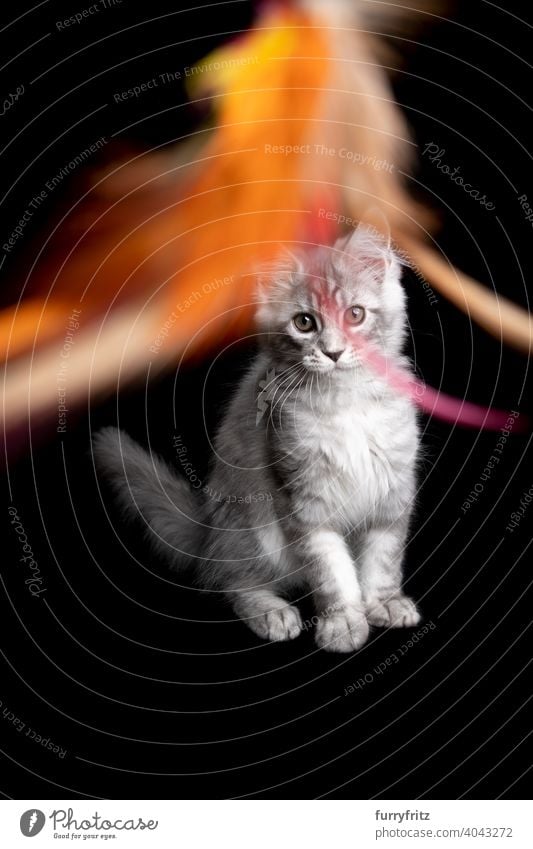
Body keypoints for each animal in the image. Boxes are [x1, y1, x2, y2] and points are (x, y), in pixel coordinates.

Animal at [94, 224, 420, 648]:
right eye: (304, 322)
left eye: (355, 314)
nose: (333, 352)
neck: (344, 399)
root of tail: (209, 533)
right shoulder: (301, 499)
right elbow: (332, 572)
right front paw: (343, 622)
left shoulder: (392, 488)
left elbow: (382, 560)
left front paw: (384, 604)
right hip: (255, 527)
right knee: (234, 581)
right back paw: (271, 612)